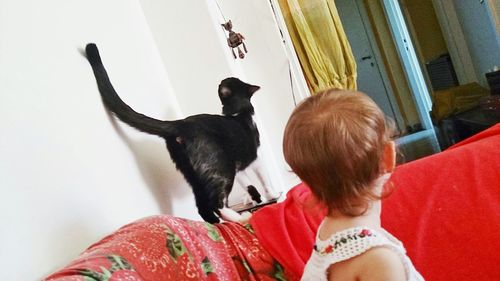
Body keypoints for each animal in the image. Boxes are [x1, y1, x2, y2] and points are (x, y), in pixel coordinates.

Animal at [86, 43, 264, 222]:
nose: (222, 79)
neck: (238, 111)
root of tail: (181, 123)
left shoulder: (240, 169)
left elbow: (248, 184)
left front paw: (254, 198)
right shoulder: (255, 159)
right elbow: (261, 180)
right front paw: (263, 197)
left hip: (192, 174)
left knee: (202, 205)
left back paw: (218, 222)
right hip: (221, 168)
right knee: (216, 202)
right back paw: (241, 218)